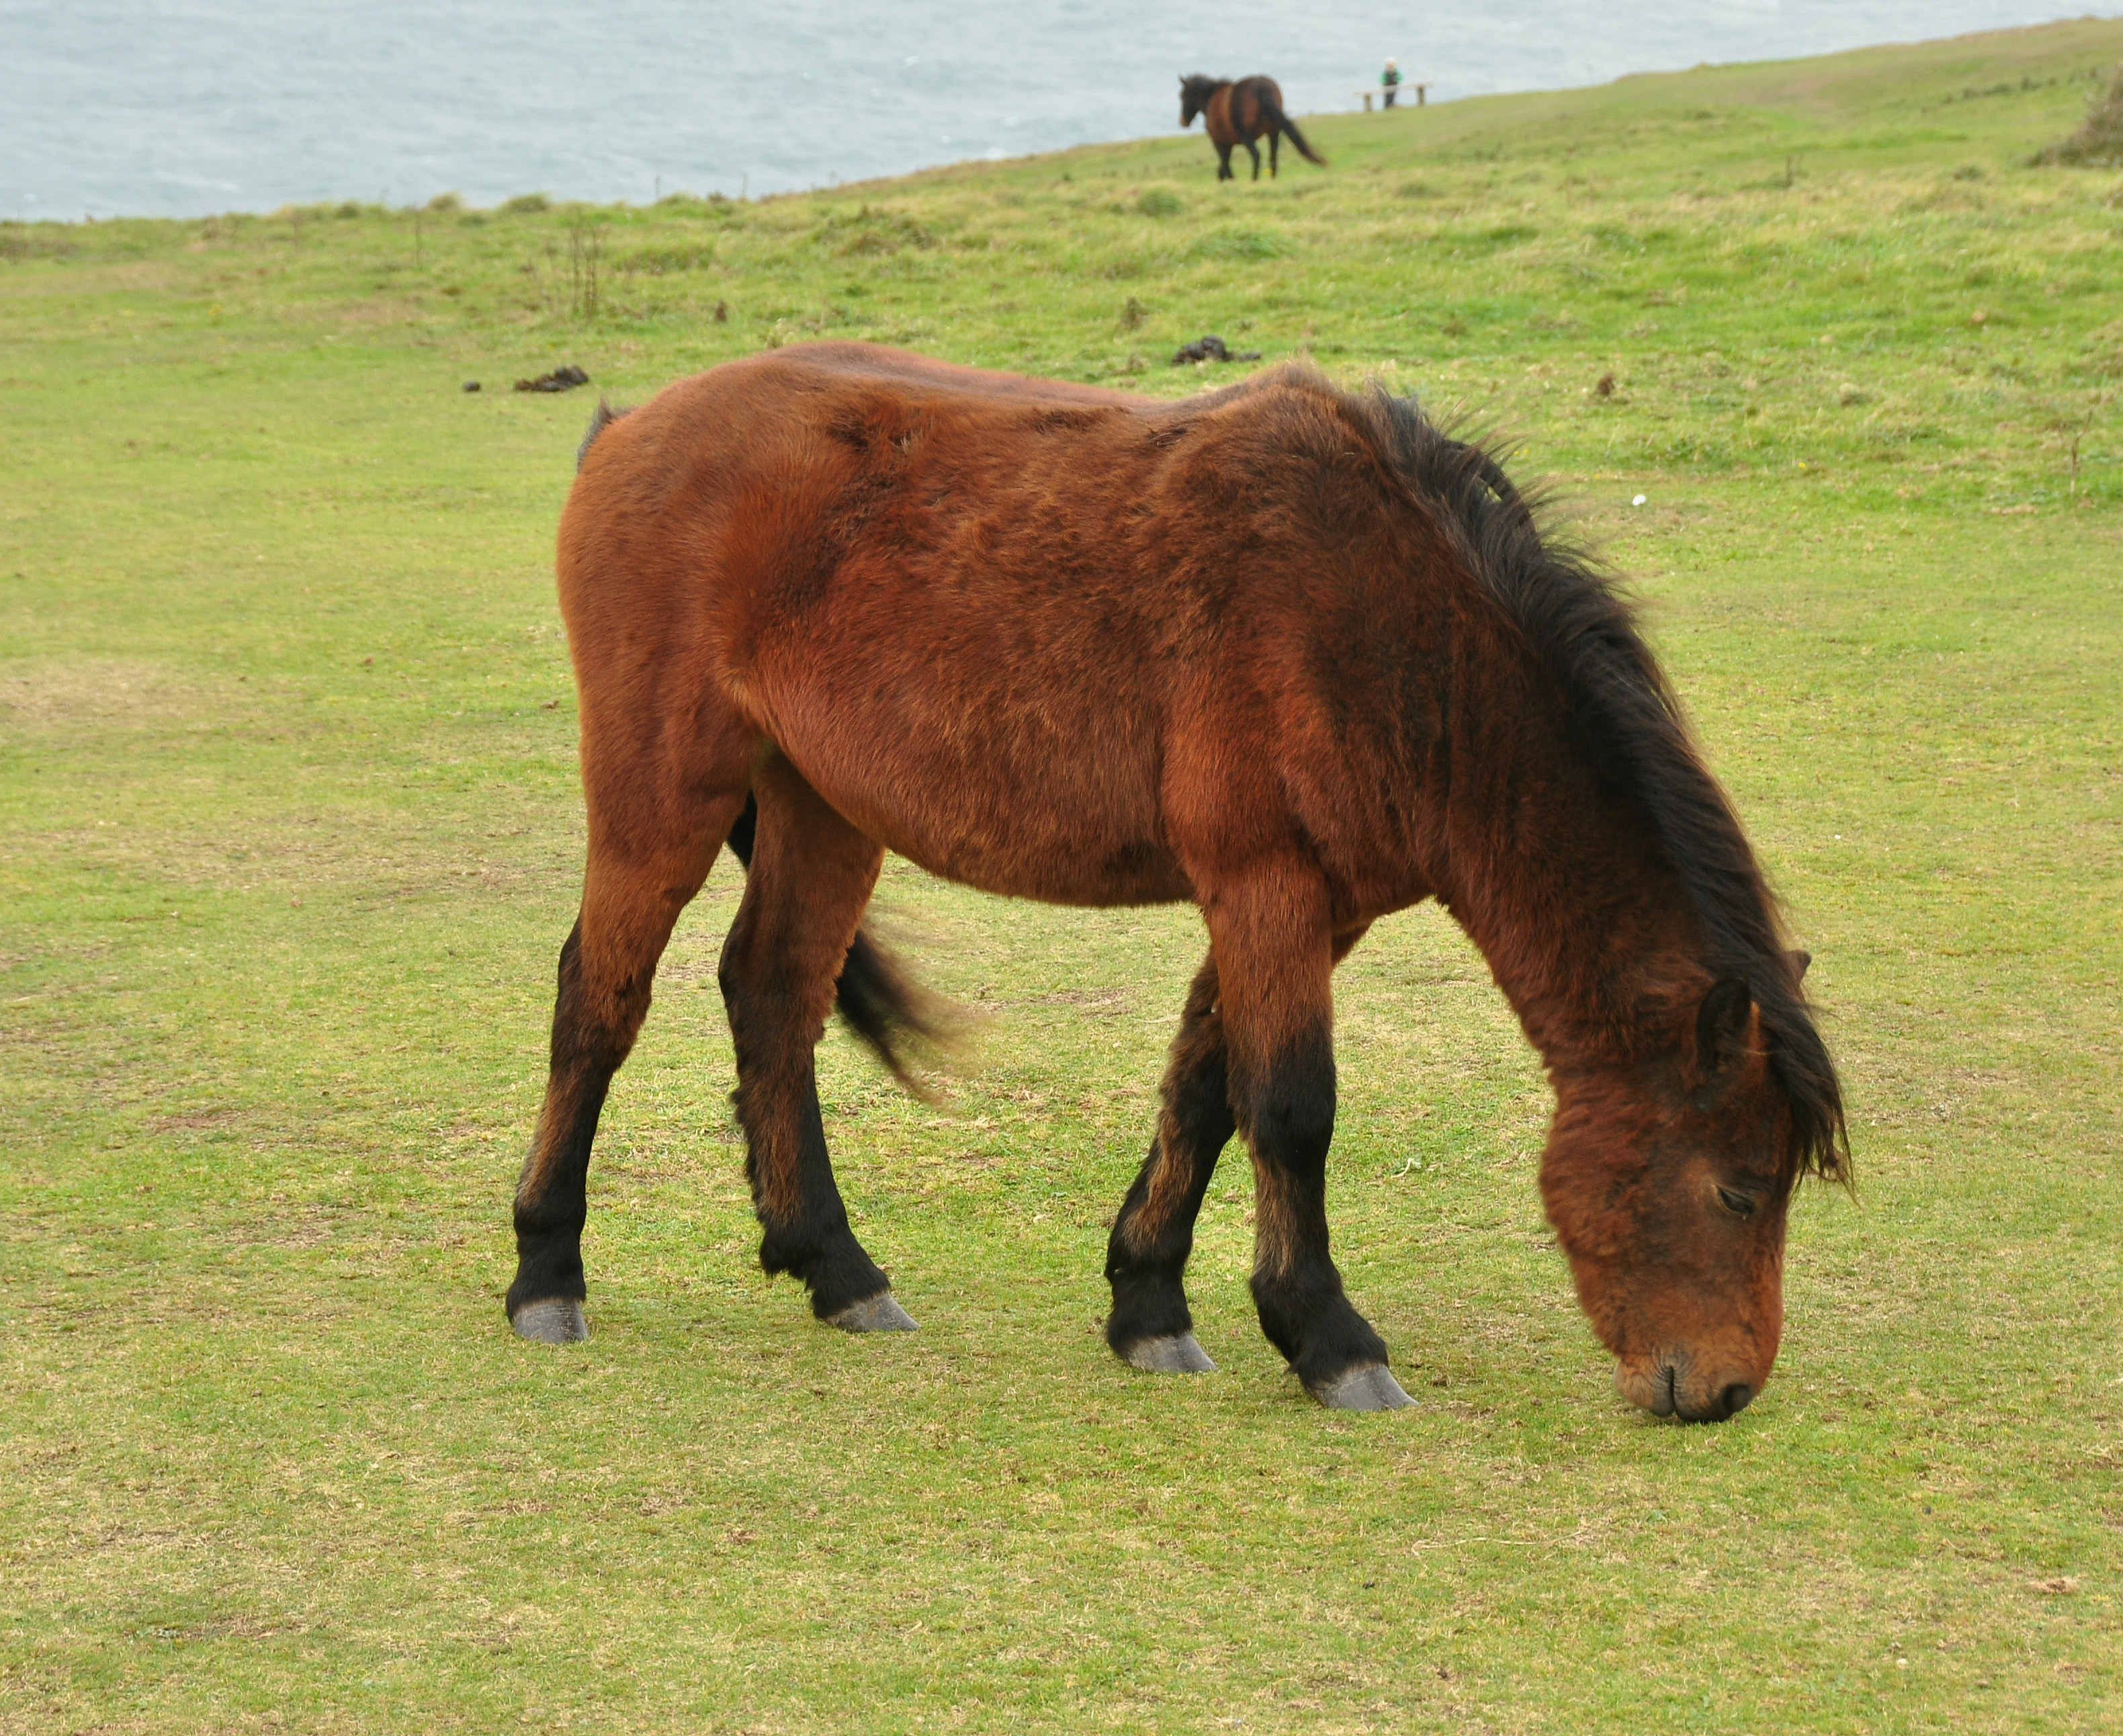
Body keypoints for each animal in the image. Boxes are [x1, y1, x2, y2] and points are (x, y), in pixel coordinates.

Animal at [507, 343, 1847, 1418]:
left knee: (774, 993)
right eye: (1738, 1191)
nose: (1724, 1391)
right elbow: (1292, 1106)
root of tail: (624, 430)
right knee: (600, 1002)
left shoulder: (1314, 906)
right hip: (663, 792)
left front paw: (1148, 1304)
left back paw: (838, 1268)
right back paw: (545, 1273)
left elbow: (1206, 1087)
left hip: (822, 804)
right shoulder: (1265, 883)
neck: (1391, 635)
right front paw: (1329, 1339)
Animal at [1179, 74, 1326, 181]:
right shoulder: (1228, 145)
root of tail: (1262, 89)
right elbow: (1223, 168)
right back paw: (1272, 180)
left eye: (1183, 96)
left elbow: (1225, 166)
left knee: (1256, 155)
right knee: (1273, 158)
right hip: (1274, 132)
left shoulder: (1220, 143)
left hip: (1247, 136)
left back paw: (1254, 180)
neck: (1210, 99)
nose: (1183, 122)